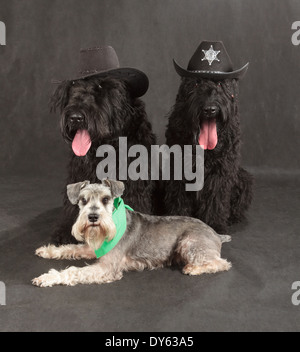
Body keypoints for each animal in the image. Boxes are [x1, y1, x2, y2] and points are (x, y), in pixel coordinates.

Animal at [164, 42, 253, 234]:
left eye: (220, 84)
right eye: (196, 83)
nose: (210, 109)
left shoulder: (221, 171)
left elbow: (216, 198)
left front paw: (215, 224)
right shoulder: (178, 167)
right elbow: (178, 196)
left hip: (244, 178)